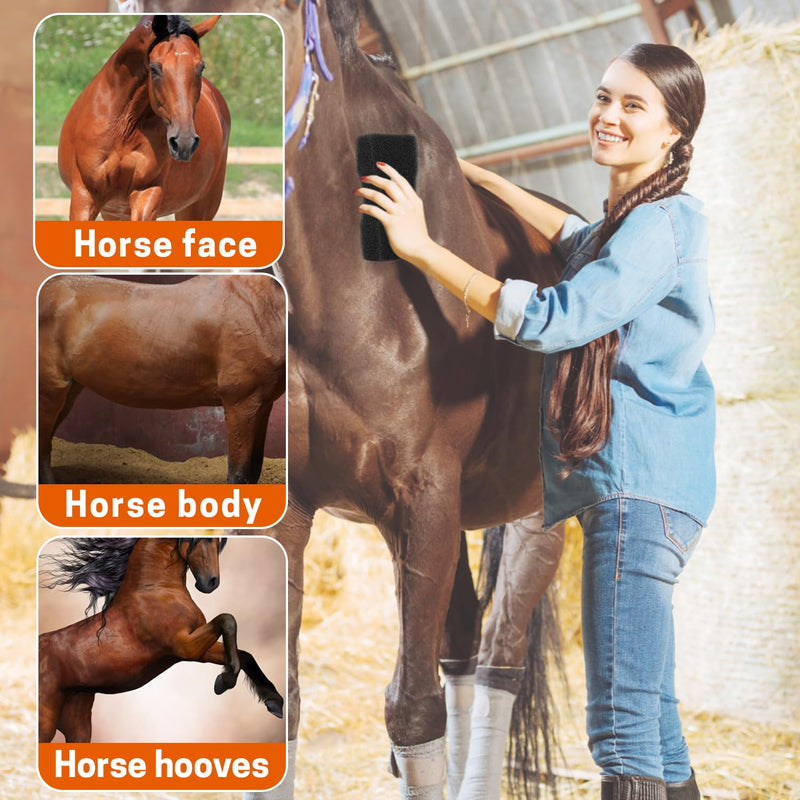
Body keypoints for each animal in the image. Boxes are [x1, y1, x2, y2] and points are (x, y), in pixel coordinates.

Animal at [38, 273, 286, 485]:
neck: (262, 309)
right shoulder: (240, 404)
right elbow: (239, 474)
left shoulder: (261, 405)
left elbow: (254, 469)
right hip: (50, 390)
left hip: (69, 391)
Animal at [38, 537, 284, 743]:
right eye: (203, 539)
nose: (211, 583)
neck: (155, 590)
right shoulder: (184, 647)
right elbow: (228, 620)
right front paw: (225, 681)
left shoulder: (195, 650)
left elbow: (244, 654)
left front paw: (274, 701)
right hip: (47, 721)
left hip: (77, 721)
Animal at [57, 14, 231, 220]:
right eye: (154, 68)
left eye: (201, 67)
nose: (184, 142)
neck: (123, 126)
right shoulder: (85, 194)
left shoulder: (147, 193)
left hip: (197, 208)